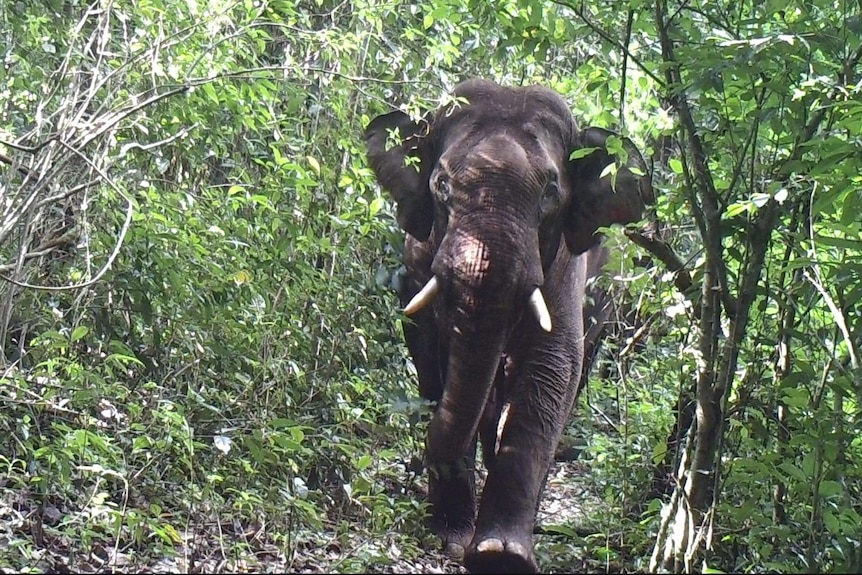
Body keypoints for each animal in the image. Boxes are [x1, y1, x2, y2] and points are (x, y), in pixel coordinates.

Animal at [364, 79, 656, 572]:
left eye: (551, 192)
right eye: (441, 184)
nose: (423, 462)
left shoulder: (566, 266)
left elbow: (553, 366)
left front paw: (500, 555)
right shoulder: (417, 262)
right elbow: (432, 354)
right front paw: (450, 535)